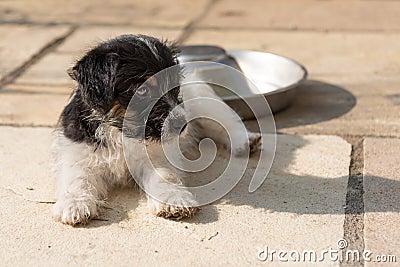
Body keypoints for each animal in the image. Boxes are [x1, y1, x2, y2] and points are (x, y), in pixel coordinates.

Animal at [52, 34, 260, 226]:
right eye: (142, 90)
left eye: (174, 85)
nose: (182, 124)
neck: (122, 131)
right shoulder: (78, 153)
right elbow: (77, 178)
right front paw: (74, 204)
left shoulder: (157, 157)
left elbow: (164, 176)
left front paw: (173, 201)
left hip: (203, 101)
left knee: (225, 121)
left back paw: (246, 141)